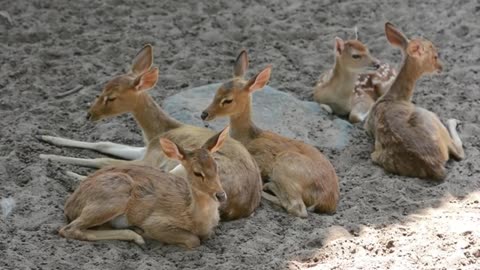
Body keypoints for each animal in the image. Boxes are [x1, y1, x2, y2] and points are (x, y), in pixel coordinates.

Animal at [40, 44, 262, 221]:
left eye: (111, 97)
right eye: (101, 90)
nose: (89, 114)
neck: (160, 131)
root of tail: (237, 206)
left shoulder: (151, 158)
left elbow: (103, 160)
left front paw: (50, 158)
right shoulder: (145, 149)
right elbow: (105, 144)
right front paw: (45, 138)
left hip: (181, 170)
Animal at [58, 126, 231, 249]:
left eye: (216, 166)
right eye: (197, 172)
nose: (220, 195)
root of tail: (70, 205)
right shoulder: (156, 222)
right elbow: (193, 240)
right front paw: (144, 232)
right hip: (113, 198)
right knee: (68, 229)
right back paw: (138, 236)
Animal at [201, 50, 340, 218]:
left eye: (228, 100)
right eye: (216, 91)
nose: (204, 114)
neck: (247, 136)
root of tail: (327, 202)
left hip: (286, 165)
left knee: (298, 208)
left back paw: (269, 186)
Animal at [364, 22, 464, 179]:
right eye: (435, 56)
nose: (441, 67)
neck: (394, 97)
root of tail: (435, 166)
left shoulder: (367, 126)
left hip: (375, 155)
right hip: (430, 116)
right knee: (458, 152)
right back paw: (453, 120)